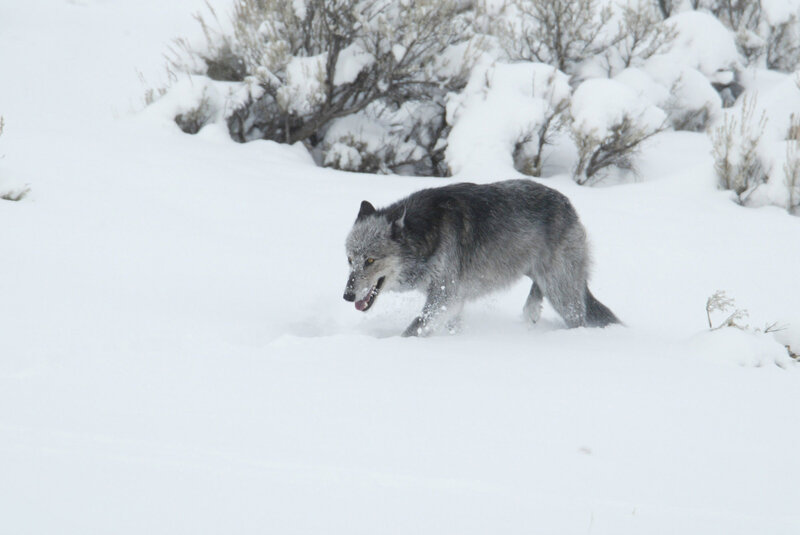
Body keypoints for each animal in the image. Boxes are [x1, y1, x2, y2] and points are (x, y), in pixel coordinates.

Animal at [343, 179, 619, 336]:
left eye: (370, 260)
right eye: (350, 260)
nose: (347, 296)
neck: (425, 234)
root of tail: (568, 205)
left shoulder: (446, 297)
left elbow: (412, 329)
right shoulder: (450, 301)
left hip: (561, 293)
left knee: (577, 318)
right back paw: (530, 314)